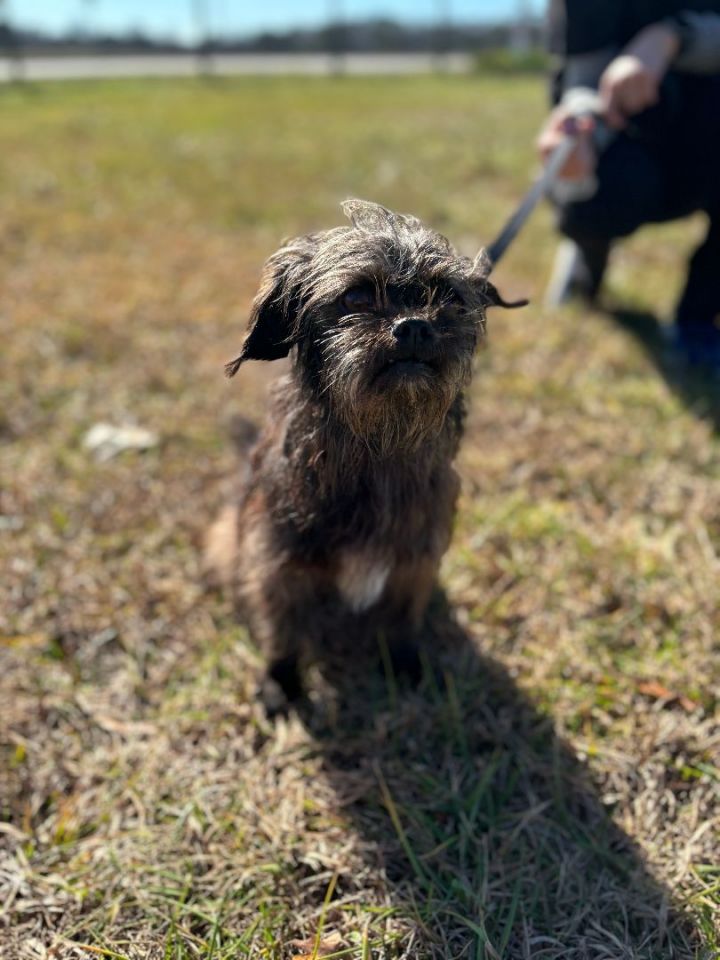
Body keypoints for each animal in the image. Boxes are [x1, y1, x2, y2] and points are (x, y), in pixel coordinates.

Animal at [205, 201, 520, 712]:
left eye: (450, 298)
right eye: (355, 297)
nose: (414, 325)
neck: (379, 448)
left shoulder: (414, 561)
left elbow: (401, 622)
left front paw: (407, 667)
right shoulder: (279, 561)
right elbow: (284, 627)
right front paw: (281, 681)